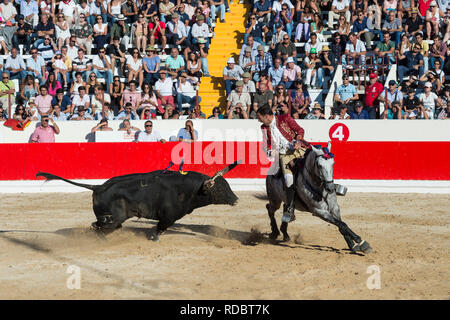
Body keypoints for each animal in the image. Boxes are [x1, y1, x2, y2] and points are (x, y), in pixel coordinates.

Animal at [35, 162, 241, 240]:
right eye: (220, 188)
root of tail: (98, 187)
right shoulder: (168, 217)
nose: (236, 200)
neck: (190, 189)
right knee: (98, 226)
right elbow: (160, 228)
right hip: (110, 219)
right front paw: (154, 238)